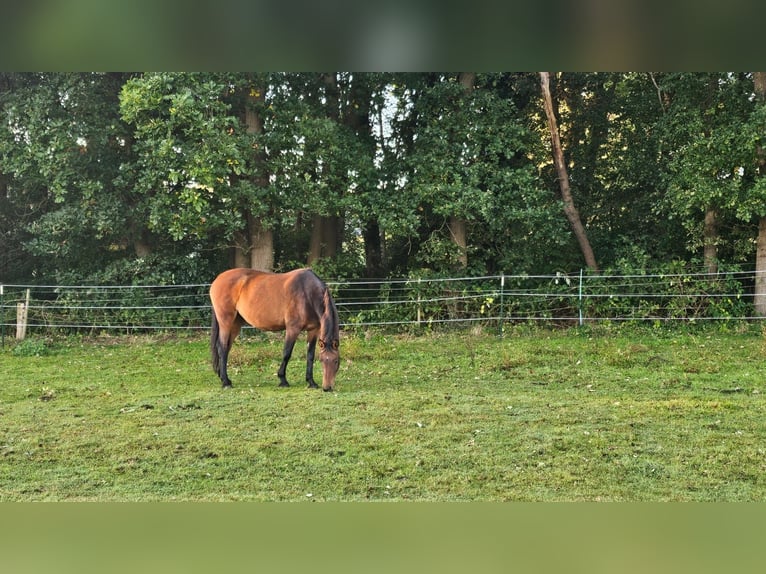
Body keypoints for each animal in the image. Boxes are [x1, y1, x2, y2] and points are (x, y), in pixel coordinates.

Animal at [212, 268, 340, 392]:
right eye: (322, 360)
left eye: (336, 361)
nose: (327, 388)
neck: (308, 293)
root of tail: (217, 280)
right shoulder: (293, 329)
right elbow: (287, 353)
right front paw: (283, 380)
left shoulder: (313, 330)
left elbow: (310, 355)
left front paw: (311, 382)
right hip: (226, 322)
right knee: (222, 347)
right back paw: (226, 382)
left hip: (235, 324)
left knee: (227, 348)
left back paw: (223, 377)